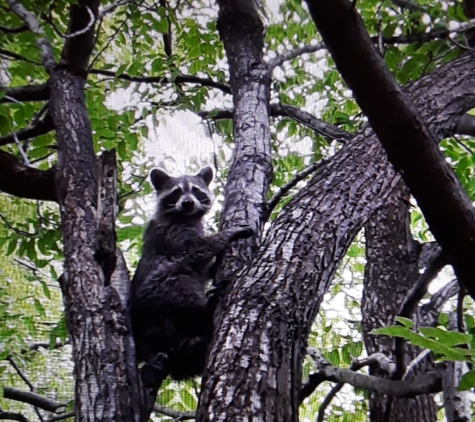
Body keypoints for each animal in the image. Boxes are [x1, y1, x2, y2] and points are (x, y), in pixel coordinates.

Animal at [128, 166, 251, 386]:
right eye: (176, 192)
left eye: (195, 190)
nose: (188, 203)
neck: (184, 215)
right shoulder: (174, 233)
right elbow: (198, 249)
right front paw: (226, 235)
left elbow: (203, 266)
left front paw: (212, 266)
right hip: (155, 291)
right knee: (180, 282)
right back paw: (204, 311)